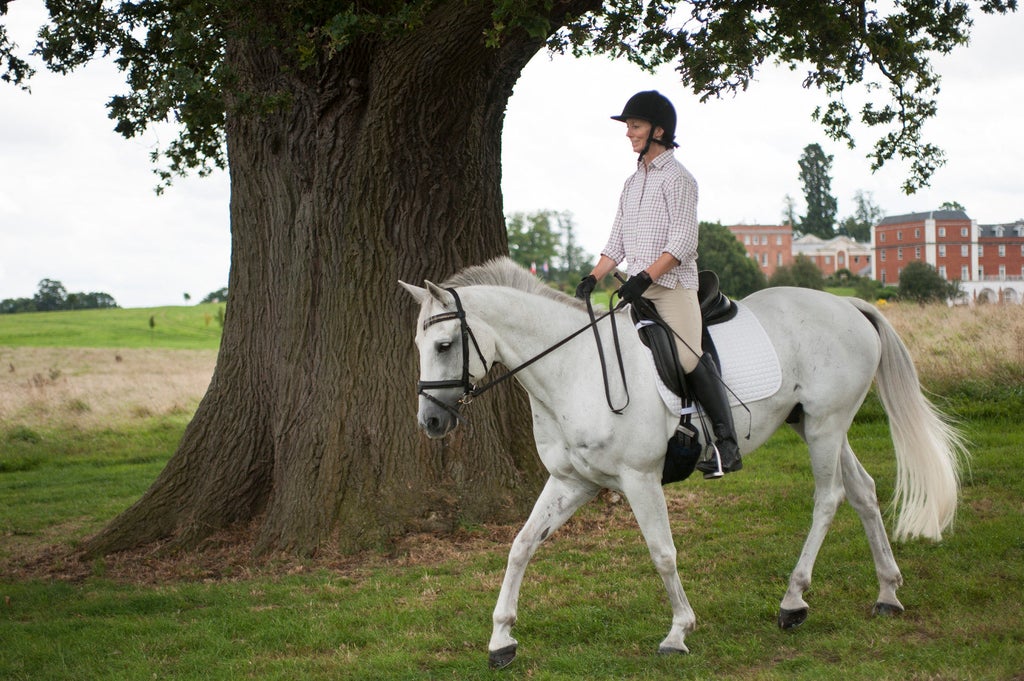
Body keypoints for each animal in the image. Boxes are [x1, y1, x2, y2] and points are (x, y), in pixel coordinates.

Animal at [397, 258, 958, 667]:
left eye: (444, 344)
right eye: (420, 344)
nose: (431, 422)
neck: (573, 369)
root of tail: (849, 308)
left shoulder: (639, 479)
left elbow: (662, 552)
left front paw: (677, 632)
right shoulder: (572, 481)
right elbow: (521, 546)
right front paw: (501, 640)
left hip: (824, 426)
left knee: (828, 498)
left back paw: (793, 602)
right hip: (820, 425)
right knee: (863, 491)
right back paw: (887, 592)